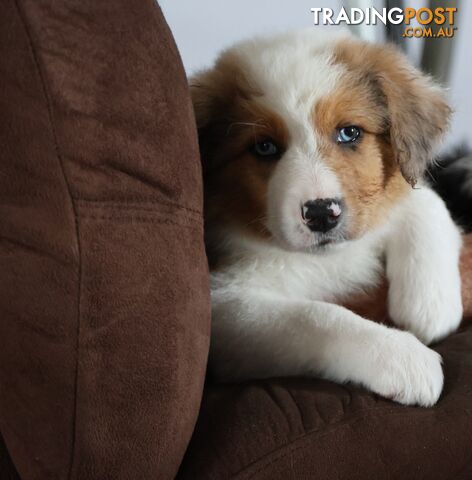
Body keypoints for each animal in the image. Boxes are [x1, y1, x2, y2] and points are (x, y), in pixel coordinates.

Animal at [190, 30, 462, 404]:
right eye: (264, 147)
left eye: (349, 132)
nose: (321, 214)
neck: (326, 259)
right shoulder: (224, 310)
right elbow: (316, 314)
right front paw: (403, 356)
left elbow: (423, 199)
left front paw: (430, 304)